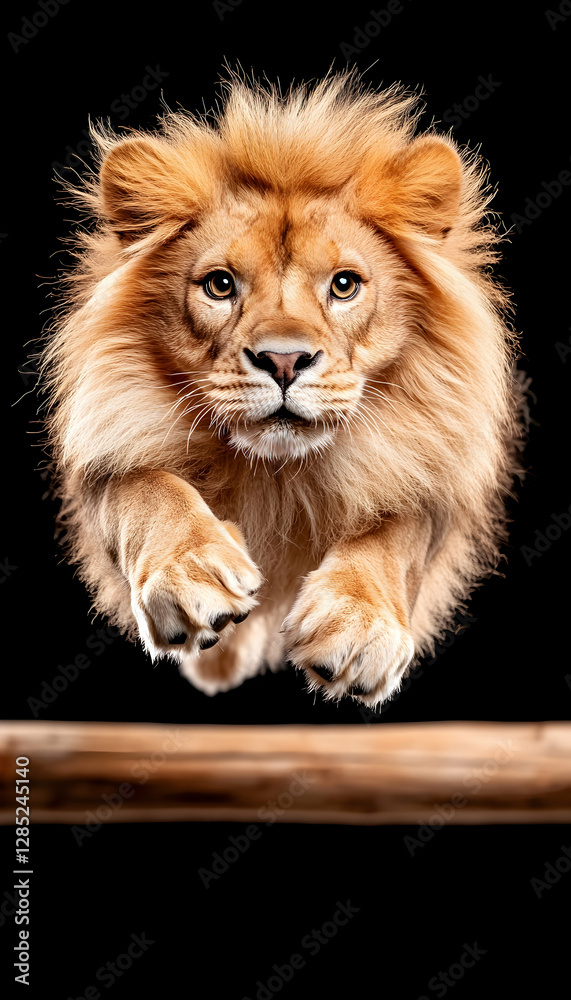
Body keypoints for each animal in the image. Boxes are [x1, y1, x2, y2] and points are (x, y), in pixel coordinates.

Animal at [38, 70, 525, 708]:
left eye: (344, 285)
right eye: (220, 285)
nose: (285, 360)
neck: (278, 476)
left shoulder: (429, 478)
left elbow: (395, 534)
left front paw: (358, 625)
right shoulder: (110, 440)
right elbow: (145, 488)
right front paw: (192, 574)